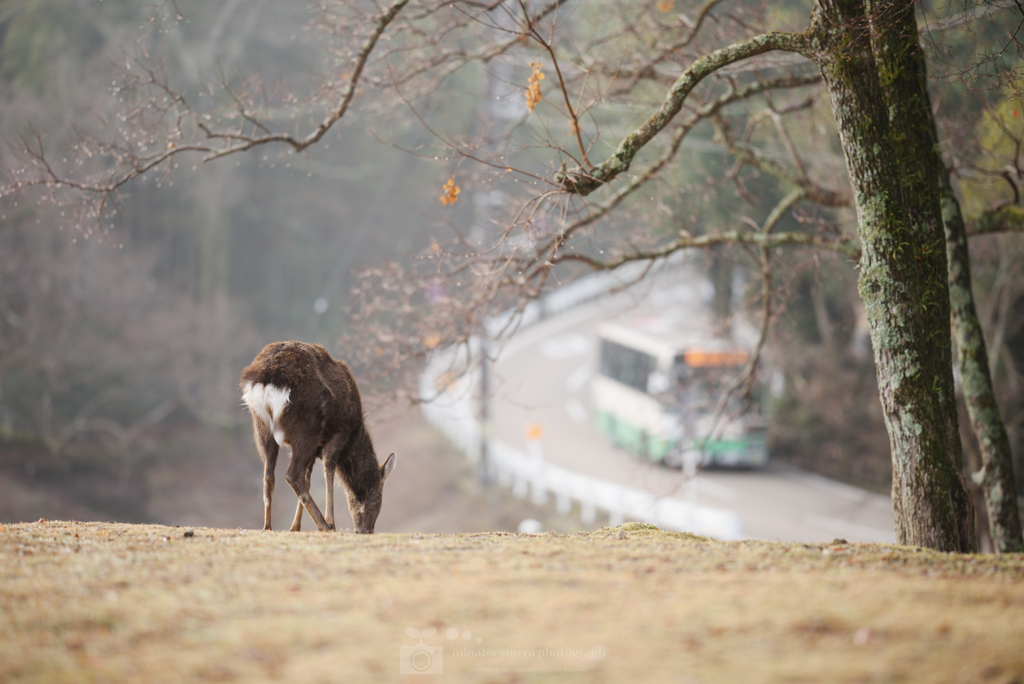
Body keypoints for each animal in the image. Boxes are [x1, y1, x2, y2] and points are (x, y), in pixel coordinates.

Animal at [239, 342, 395, 532]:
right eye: (378, 496)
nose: (366, 530)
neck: (354, 437)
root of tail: (266, 380)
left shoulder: (316, 448)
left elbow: (309, 480)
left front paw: (295, 527)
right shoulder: (339, 433)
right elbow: (329, 469)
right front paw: (330, 521)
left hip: (261, 427)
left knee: (269, 475)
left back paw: (267, 526)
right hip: (306, 427)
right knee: (293, 475)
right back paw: (324, 525)